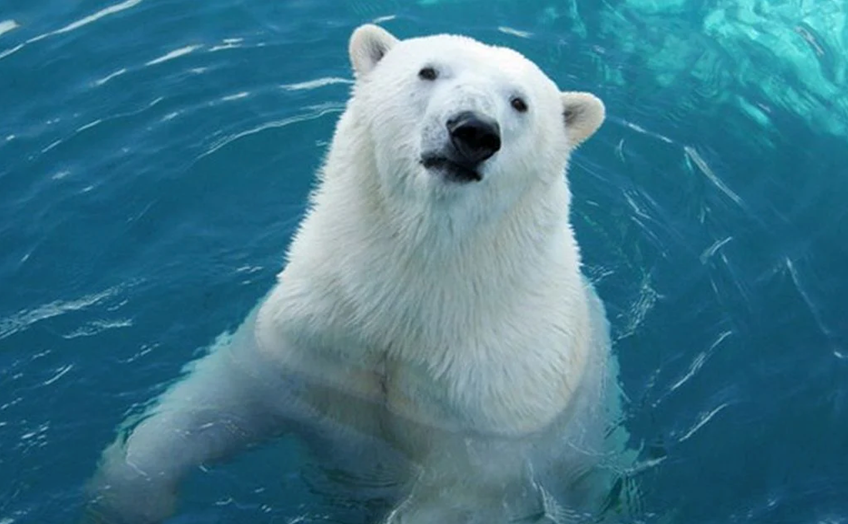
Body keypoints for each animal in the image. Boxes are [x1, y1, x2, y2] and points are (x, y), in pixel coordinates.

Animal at [83, 24, 634, 524]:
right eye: (428, 71)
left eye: (519, 103)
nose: (474, 130)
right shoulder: (314, 337)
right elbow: (215, 399)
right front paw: (130, 497)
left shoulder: (497, 415)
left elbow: (461, 498)